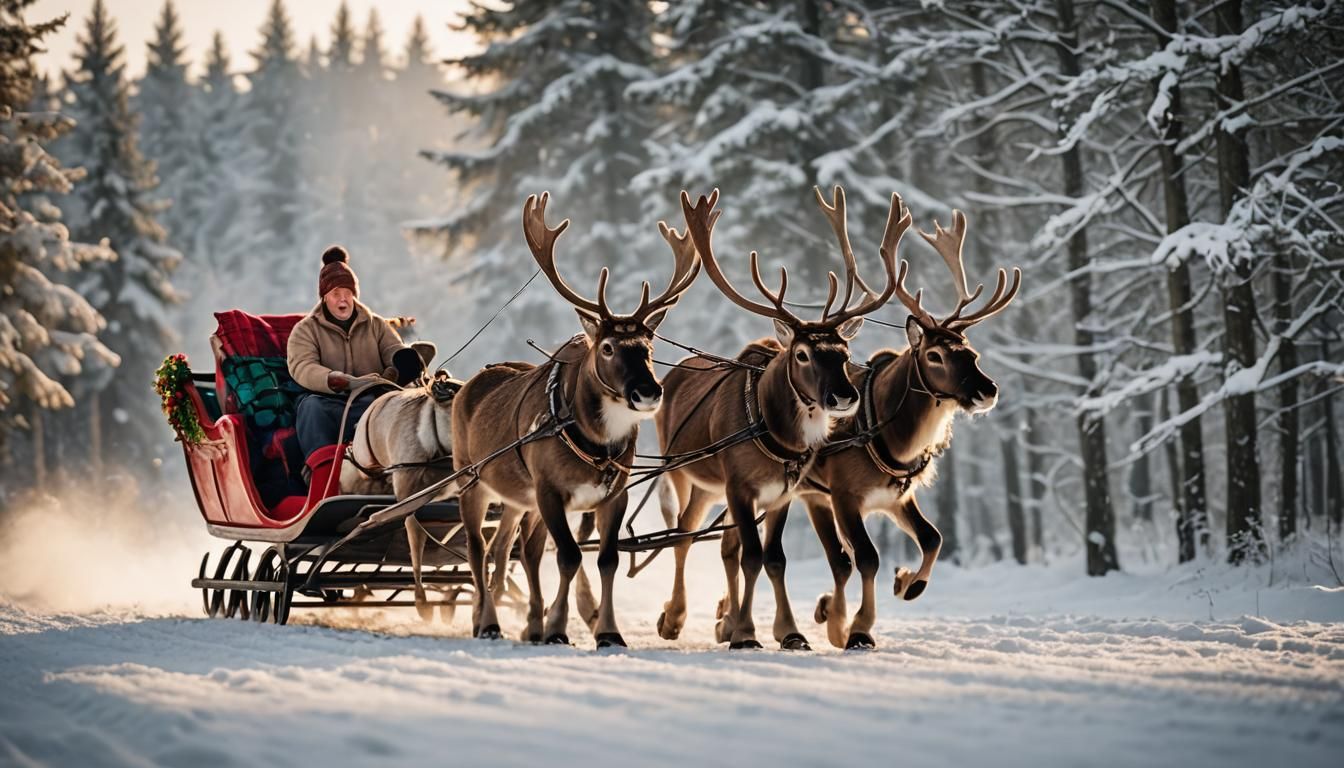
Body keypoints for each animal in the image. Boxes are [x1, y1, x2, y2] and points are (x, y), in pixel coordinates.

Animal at [450, 192, 700, 648]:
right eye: (607, 347)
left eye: (649, 347)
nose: (648, 391)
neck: (595, 445)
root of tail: (465, 386)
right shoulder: (549, 488)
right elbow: (567, 556)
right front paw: (557, 627)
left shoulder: (612, 493)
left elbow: (607, 559)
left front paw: (607, 632)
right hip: (470, 478)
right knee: (478, 549)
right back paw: (490, 621)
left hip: (516, 497)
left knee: (507, 549)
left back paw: (508, 620)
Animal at [653, 187, 910, 650]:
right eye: (803, 354)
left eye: (843, 352)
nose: (844, 395)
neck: (776, 434)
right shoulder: (739, 485)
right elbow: (753, 555)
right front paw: (747, 634)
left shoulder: (780, 493)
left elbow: (773, 559)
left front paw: (787, 632)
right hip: (682, 473)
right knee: (683, 534)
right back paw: (674, 617)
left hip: (714, 489)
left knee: (723, 546)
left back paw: (724, 620)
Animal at [801, 194, 1020, 650]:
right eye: (935, 355)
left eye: (970, 350)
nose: (987, 390)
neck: (894, 440)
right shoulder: (844, 493)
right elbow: (867, 557)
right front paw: (859, 628)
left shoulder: (896, 497)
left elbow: (934, 537)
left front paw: (907, 583)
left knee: (835, 559)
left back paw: (825, 611)